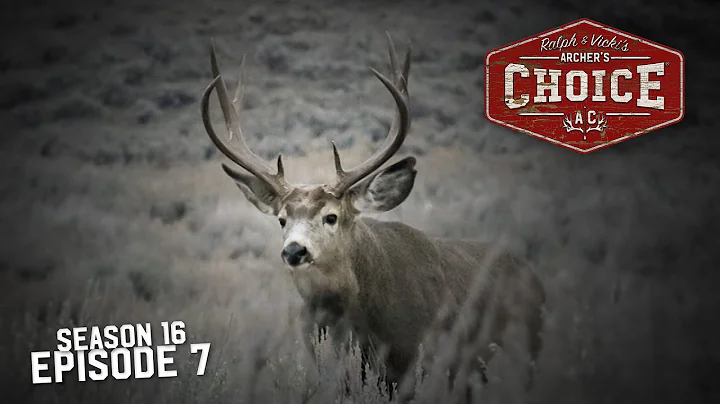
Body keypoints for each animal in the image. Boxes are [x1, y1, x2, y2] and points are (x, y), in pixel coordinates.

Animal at [200, 34, 546, 402]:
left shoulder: (408, 358)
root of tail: (534, 278)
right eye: (282, 219)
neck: (353, 319)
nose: (294, 251)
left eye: (331, 217)